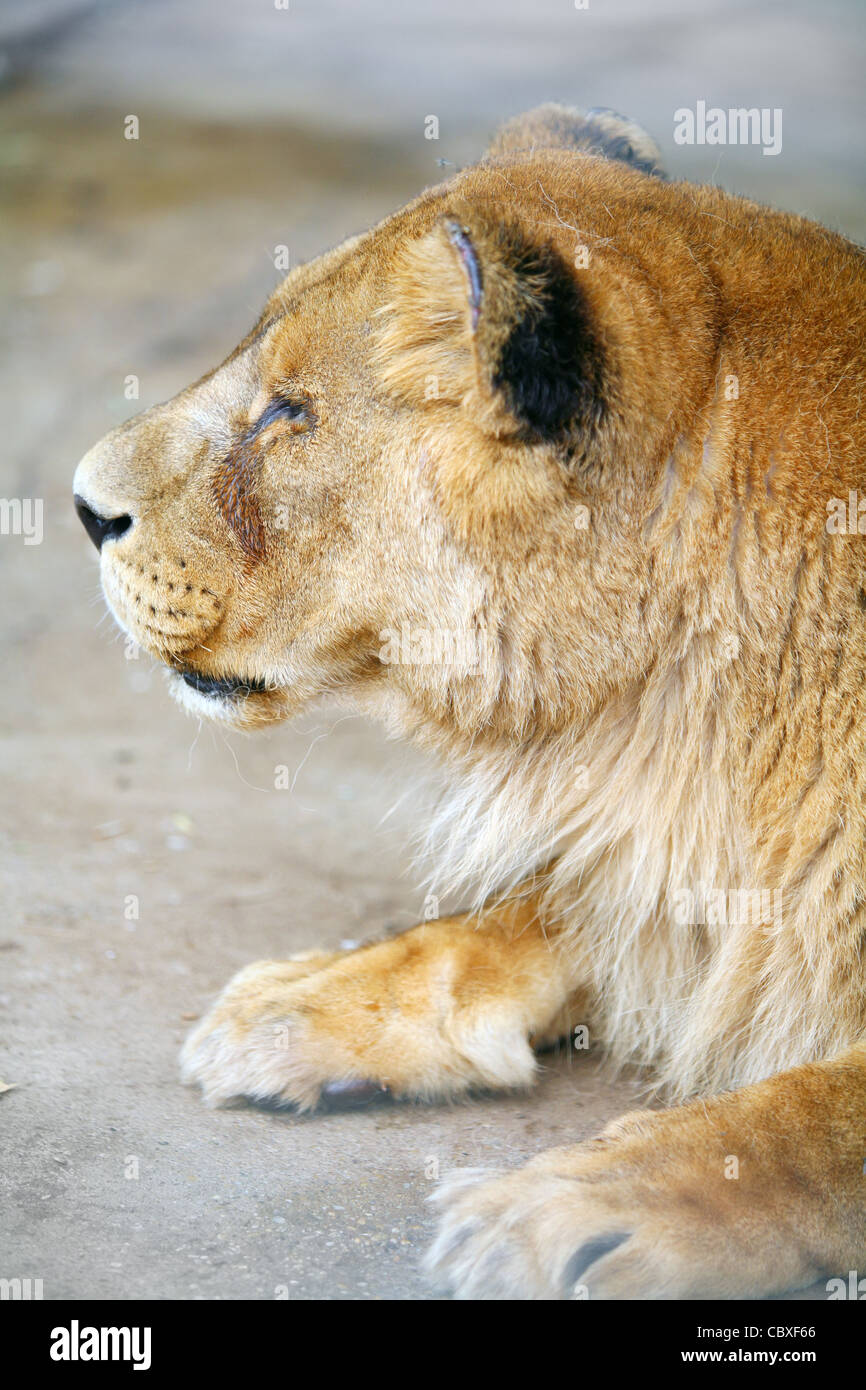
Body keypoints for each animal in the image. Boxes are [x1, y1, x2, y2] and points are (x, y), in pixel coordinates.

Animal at [73, 105, 866, 1300]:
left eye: (288, 412)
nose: (80, 506)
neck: (674, 711)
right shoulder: (653, 837)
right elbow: (508, 917)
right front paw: (304, 999)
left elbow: (811, 1111)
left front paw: (575, 1209)